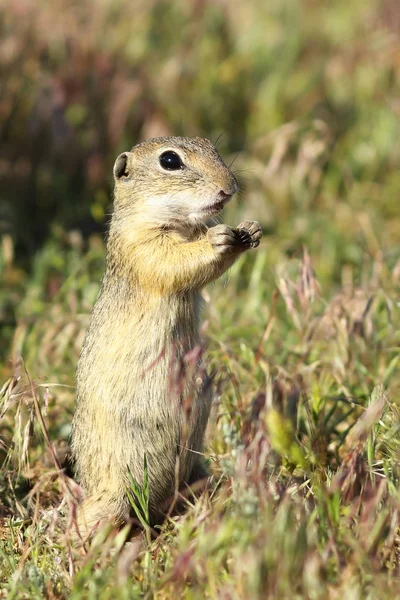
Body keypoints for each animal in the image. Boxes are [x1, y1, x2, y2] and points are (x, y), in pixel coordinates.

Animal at [71, 137, 262, 540]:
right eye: (170, 161)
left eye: (213, 147)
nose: (230, 187)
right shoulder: (143, 248)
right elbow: (175, 261)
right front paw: (220, 238)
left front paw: (250, 229)